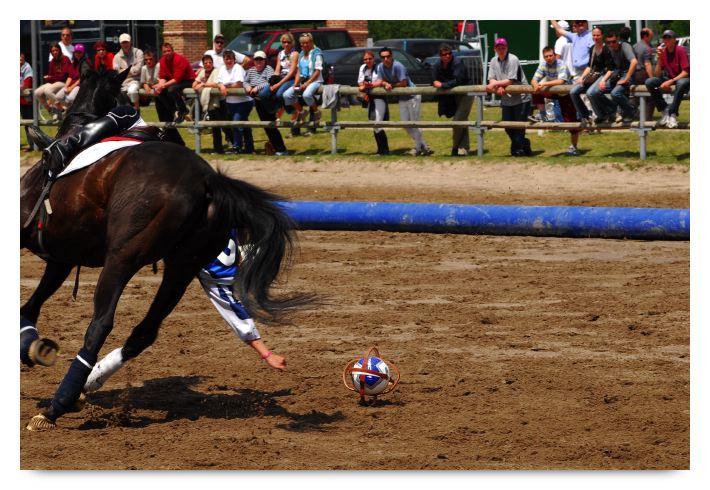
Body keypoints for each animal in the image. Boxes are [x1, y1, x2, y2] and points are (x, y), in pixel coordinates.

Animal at [20, 68, 310, 430]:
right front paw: (30, 345)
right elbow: (29, 308)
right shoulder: (62, 258)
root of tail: (207, 181)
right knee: (144, 331)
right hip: (182, 268)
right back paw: (87, 384)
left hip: (122, 260)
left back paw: (56, 406)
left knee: (100, 325)